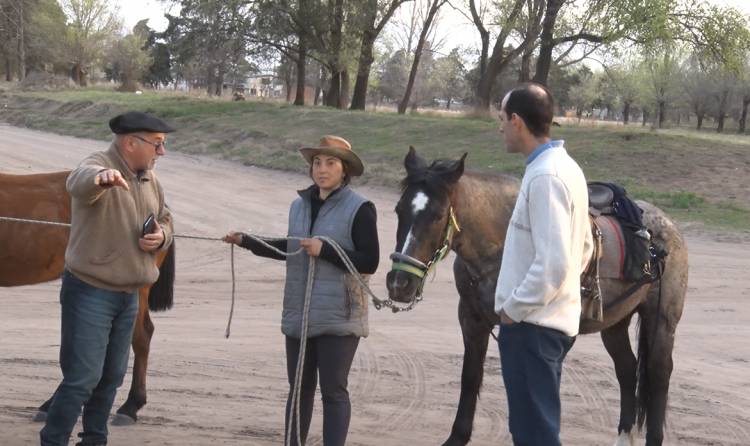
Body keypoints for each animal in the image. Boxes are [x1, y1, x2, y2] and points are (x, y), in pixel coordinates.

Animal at [390, 149, 692, 446]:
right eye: (398, 210)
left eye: (438, 215)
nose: (399, 283)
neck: (503, 244)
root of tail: (667, 225)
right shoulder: (471, 319)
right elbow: (471, 377)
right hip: (615, 323)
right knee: (627, 369)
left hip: (662, 321)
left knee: (658, 374)